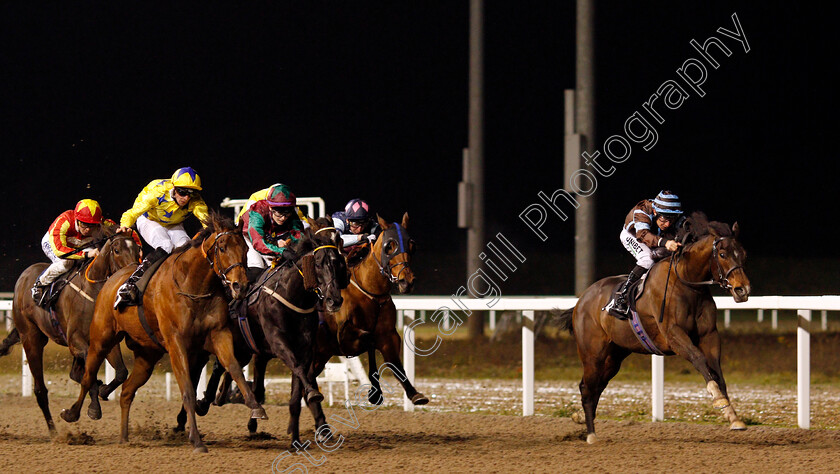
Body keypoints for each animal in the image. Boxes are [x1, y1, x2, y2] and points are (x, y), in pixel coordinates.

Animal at [0, 231, 140, 436]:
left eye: (138, 249)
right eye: (116, 250)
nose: (133, 274)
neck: (94, 294)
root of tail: (23, 277)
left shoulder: (104, 341)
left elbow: (121, 372)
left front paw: (103, 390)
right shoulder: (76, 342)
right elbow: (89, 374)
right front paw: (90, 408)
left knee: (75, 373)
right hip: (31, 339)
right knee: (41, 390)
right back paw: (53, 432)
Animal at [61, 211, 266, 452]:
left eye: (245, 249)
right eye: (222, 247)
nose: (240, 286)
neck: (193, 285)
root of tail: (112, 280)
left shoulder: (219, 334)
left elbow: (233, 367)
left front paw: (256, 407)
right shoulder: (176, 343)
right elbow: (187, 389)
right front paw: (196, 440)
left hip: (147, 355)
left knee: (127, 391)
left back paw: (124, 437)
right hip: (101, 339)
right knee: (88, 377)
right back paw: (73, 413)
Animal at [192, 217, 346, 446]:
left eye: (337, 262)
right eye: (318, 263)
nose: (334, 300)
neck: (292, 295)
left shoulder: (305, 347)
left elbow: (296, 391)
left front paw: (296, 439)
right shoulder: (278, 341)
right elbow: (298, 369)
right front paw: (313, 394)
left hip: (247, 350)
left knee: (231, 370)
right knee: (216, 367)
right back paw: (202, 404)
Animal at [560, 215, 752, 444]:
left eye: (743, 254)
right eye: (722, 254)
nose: (742, 290)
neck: (687, 283)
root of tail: (581, 301)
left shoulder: (709, 335)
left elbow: (717, 371)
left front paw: (733, 416)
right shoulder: (673, 334)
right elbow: (699, 359)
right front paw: (718, 400)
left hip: (613, 357)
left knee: (594, 386)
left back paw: (580, 418)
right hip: (592, 354)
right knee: (588, 388)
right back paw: (591, 434)